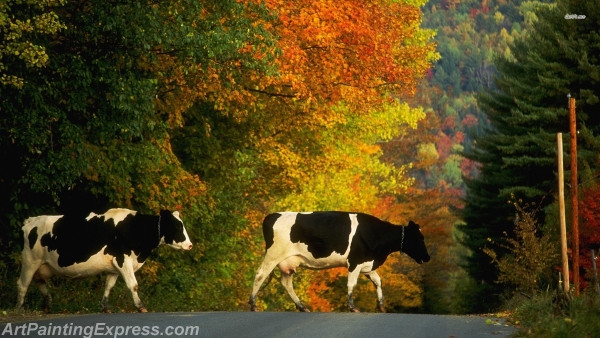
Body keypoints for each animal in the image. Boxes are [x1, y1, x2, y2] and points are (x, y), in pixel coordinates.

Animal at [15, 207, 192, 312]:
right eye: (177, 226)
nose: (190, 245)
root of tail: (31, 220)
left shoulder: (114, 266)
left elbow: (109, 286)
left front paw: (105, 307)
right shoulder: (123, 260)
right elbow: (133, 285)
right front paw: (140, 306)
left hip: (41, 265)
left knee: (39, 282)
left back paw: (48, 305)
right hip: (30, 261)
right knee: (23, 283)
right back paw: (19, 307)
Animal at [247, 211, 426, 312]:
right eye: (419, 238)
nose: (428, 257)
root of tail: (272, 215)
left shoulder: (367, 264)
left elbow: (378, 281)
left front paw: (381, 305)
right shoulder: (354, 261)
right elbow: (352, 284)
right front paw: (352, 307)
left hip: (289, 262)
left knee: (286, 283)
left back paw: (302, 307)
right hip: (274, 254)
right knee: (260, 274)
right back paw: (253, 304)